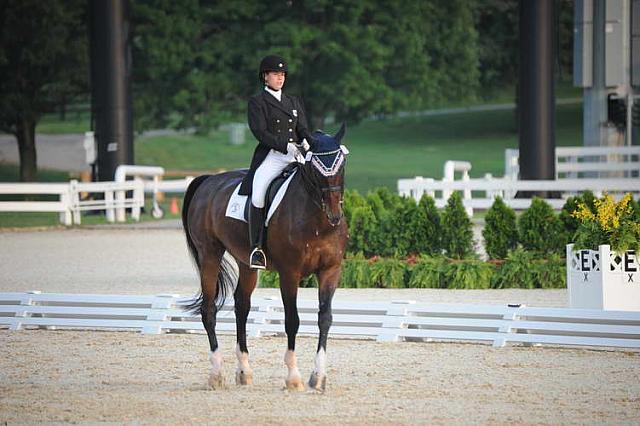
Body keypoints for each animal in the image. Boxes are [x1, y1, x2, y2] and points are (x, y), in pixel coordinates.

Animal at [180, 125, 350, 392]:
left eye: (341, 165)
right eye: (315, 168)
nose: (334, 215)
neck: (318, 223)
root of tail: (209, 180)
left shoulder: (330, 270)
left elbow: (325, 318)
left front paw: (319, 377)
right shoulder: (290, 273)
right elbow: (292, 320)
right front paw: (294, 378)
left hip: (246, 263)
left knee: (242, 306)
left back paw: (244, 371)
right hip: (209, 254)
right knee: (209, 310)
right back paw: (216, 374)